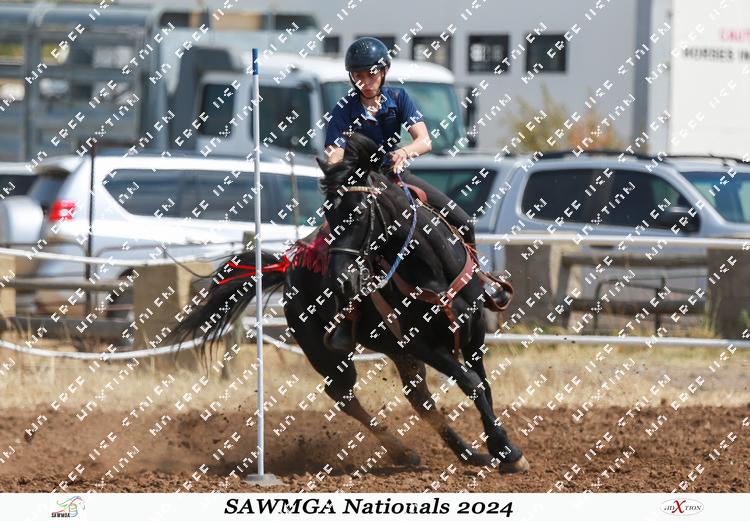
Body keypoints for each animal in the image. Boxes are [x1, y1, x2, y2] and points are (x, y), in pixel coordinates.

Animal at [170, 132, 529, 474]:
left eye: (357, 212)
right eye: (328, 212)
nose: (339, 275)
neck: (432, 272)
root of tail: (287, 270)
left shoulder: (473, 336)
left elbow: (483, 386)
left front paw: (500, 450)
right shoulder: (423, 344)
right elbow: (471, 384)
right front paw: (509, 452)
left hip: (396, 351)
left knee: (418, 399)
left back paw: (469, 455)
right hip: (326, 354)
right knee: (344, 397)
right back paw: (402, 451)